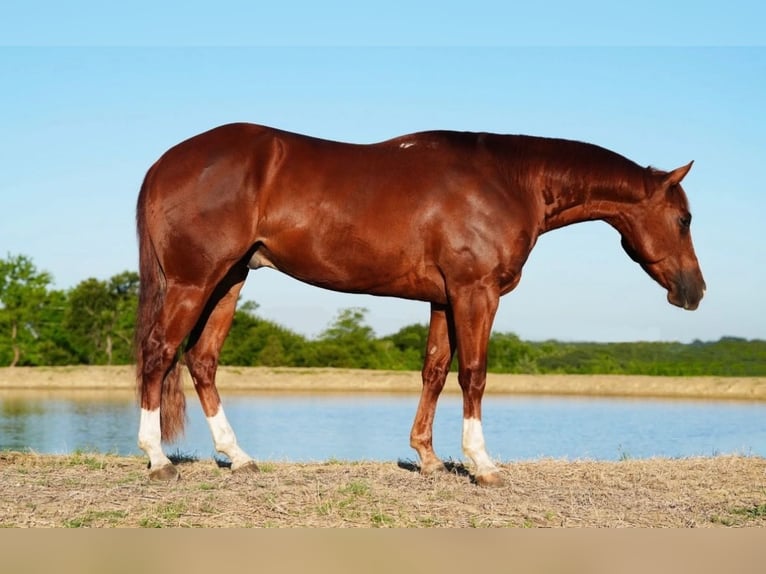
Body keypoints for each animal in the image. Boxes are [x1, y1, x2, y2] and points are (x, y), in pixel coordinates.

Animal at [134, 125, 708, 486]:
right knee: (158, 354)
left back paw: (239, 457)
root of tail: (164, 163)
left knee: (201, 360)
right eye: (684, 219)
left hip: (229, 281)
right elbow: (474, 373)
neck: (508, 181)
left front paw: (428, 458)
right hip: (193, 282)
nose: (695, 291)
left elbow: (434, 369)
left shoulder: (443, 298)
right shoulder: (476, 291)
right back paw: (158, 460)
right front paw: (481, 464)